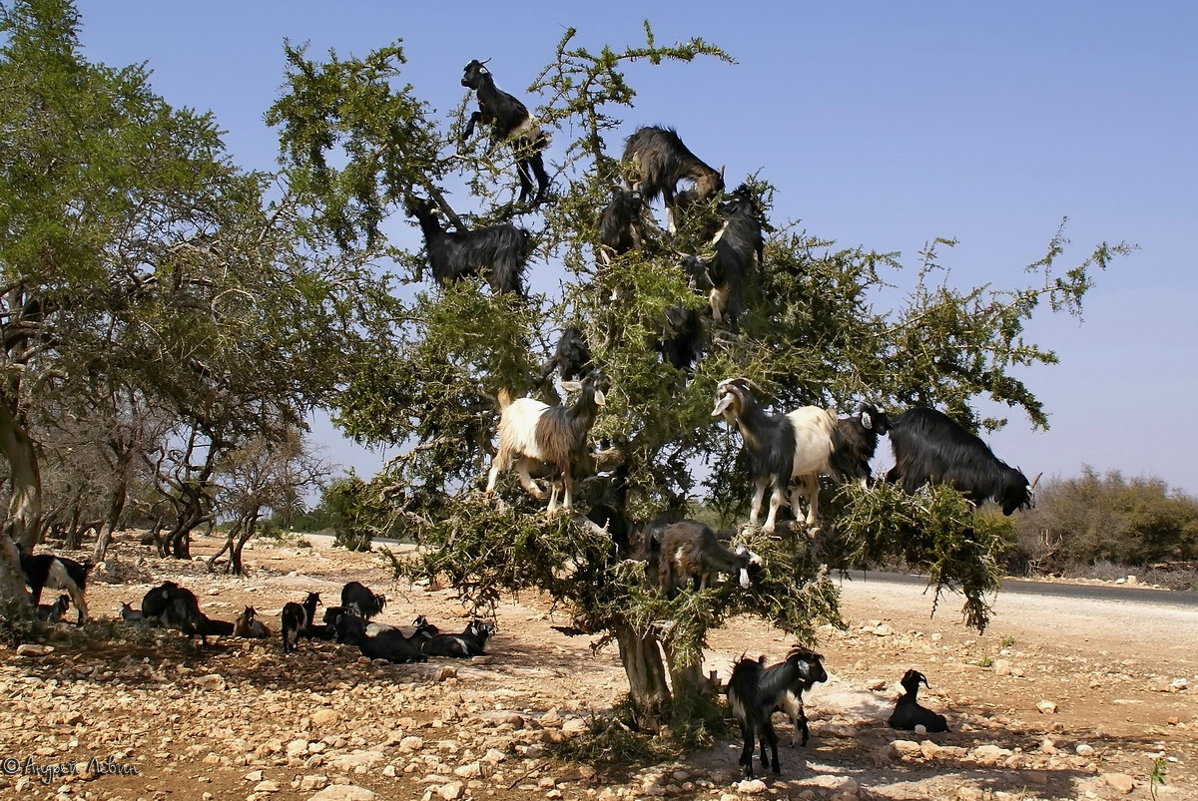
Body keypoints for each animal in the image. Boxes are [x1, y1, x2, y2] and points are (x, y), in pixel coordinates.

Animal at [457, 59, 551, 205]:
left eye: (470, 70)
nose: (463, 80)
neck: (492, 96)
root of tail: (539, 132)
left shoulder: (501, 126)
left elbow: (493, 139)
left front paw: (486, 158)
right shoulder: (488, 117)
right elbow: (474, 114)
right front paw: (466, 134)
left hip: (530, 146)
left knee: (538, 173)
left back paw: (536, 199)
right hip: (520, 148)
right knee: (525, 171)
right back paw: (522, 201)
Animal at [481, 371, 608, 512]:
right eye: (596, 380)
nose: (607, 377)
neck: (573, 421)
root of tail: (509, 407)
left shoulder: (570, 458)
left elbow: (569, 482)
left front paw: (568, 508)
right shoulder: (559, 456)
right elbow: (558, 484)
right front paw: (551, 510)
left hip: (530, 449)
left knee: (521, 466)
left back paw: (538, 493)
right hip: (509, 440)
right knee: (498, 462)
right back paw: (489, 491)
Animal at [709, 378, 843, 534]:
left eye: (723, 394)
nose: (715, 414)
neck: (766, 434)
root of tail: (827, 415)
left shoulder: (783, 471)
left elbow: (774, 499)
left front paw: (768, 527)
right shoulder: (759, 475)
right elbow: (755, 502)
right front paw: (751, 528)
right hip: (809, 469)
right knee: (814, 488)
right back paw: (809, 521)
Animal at [886, 407, 1035, 512]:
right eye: (1019, 494)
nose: (1007, 512)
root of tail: (897, 421)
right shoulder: (959, 490)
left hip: (903, 461)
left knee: (890, 476)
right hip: (914, 464)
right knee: (908, 488)